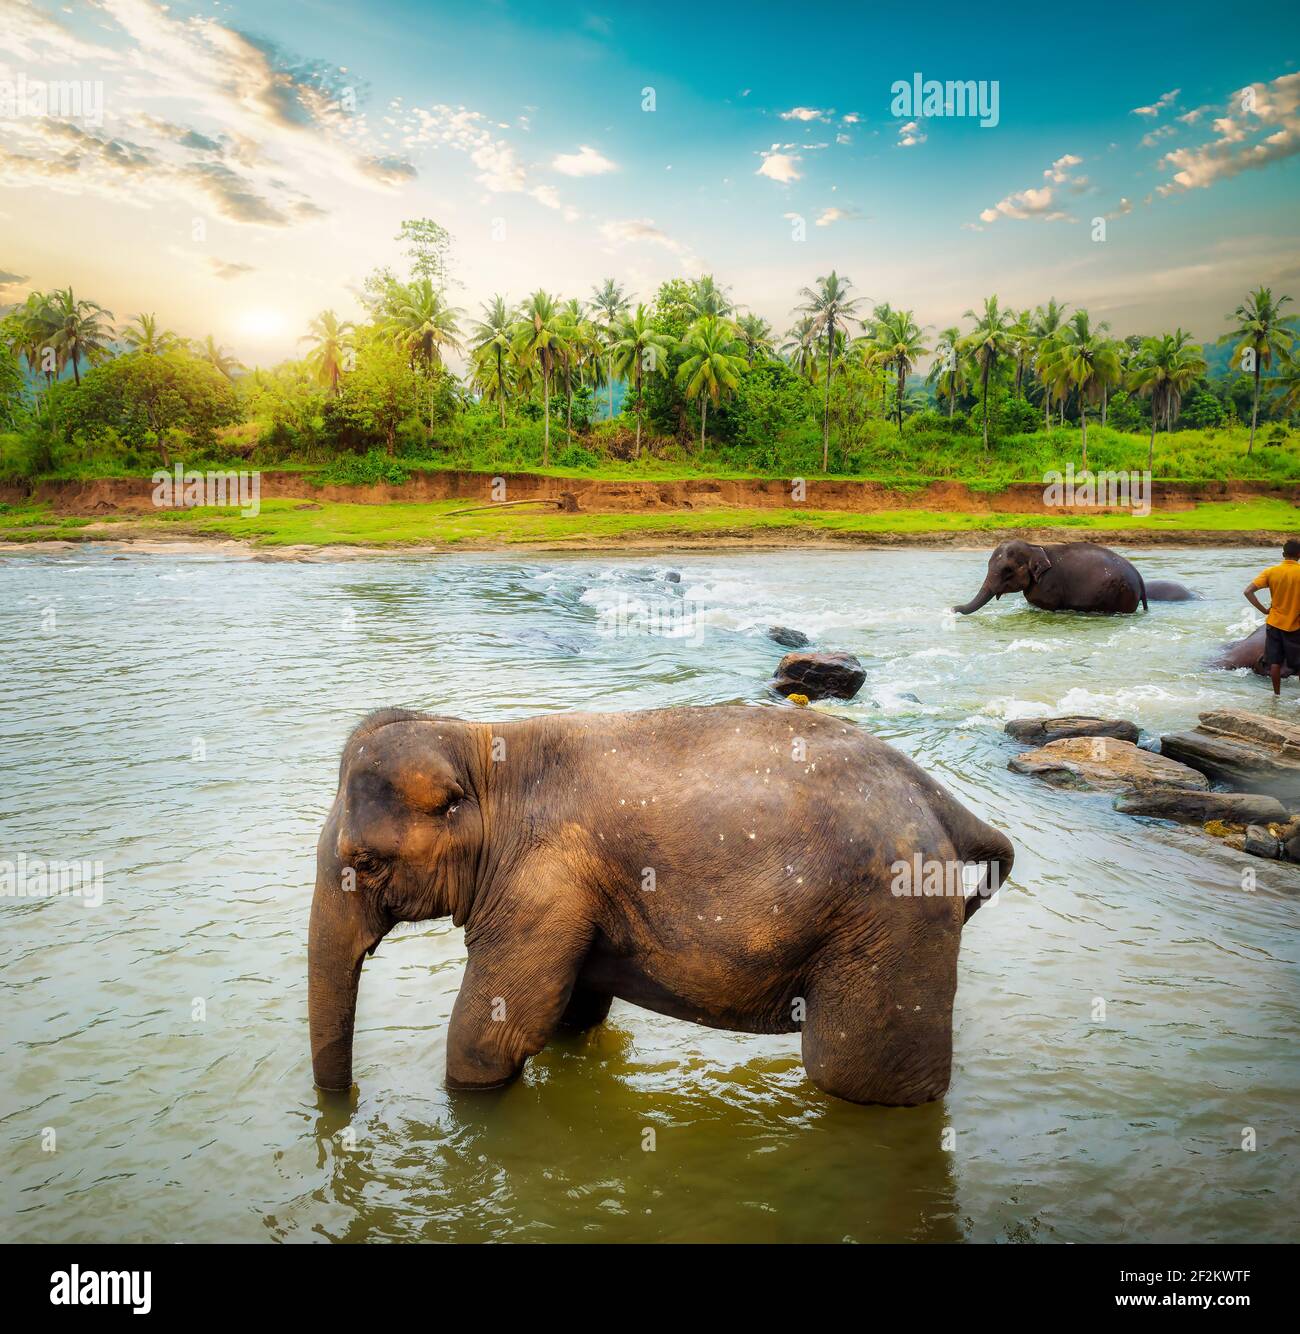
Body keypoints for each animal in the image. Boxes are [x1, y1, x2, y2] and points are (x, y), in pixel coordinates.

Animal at [308, 709, 1018, 1104]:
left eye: (364, 863)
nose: (345, 1107)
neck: (483, 745)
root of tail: (945, 804)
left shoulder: (540, 884)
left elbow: (490, 1037)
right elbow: (573, 1015)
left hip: (890, 924)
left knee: (854, 1077)